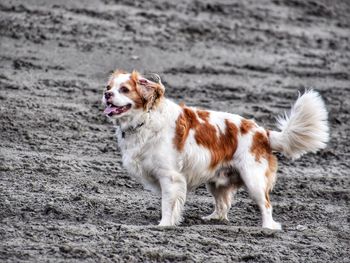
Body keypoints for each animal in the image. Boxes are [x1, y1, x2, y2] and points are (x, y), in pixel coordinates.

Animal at [101, 70, 328, 231]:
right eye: (109, 86)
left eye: (124, 89)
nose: (107, 94)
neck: (144, 120)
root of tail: (263, 133)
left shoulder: (170, 178)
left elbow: (167, 205)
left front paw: (164, 225)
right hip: (217, 182)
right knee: (223, 205)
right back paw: (213, 219)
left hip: (253, 180)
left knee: (266, 205)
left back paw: (267, 228)